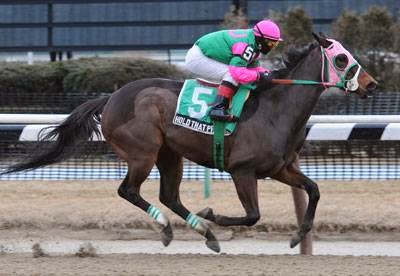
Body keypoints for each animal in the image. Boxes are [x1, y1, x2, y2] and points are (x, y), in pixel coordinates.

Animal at [3, 33, 376, 252]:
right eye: (341, 58)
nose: (371, 84)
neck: (275, 108)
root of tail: (111, 98)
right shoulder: (242, 171)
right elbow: (252, 215)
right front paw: (213, 214)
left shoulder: (280, 168)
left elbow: (313, 190)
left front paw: (299, 235)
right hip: (143, 153)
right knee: (129, 191)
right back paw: (171, 227)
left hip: (170, 155)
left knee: (168, 194)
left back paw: (203, 232)